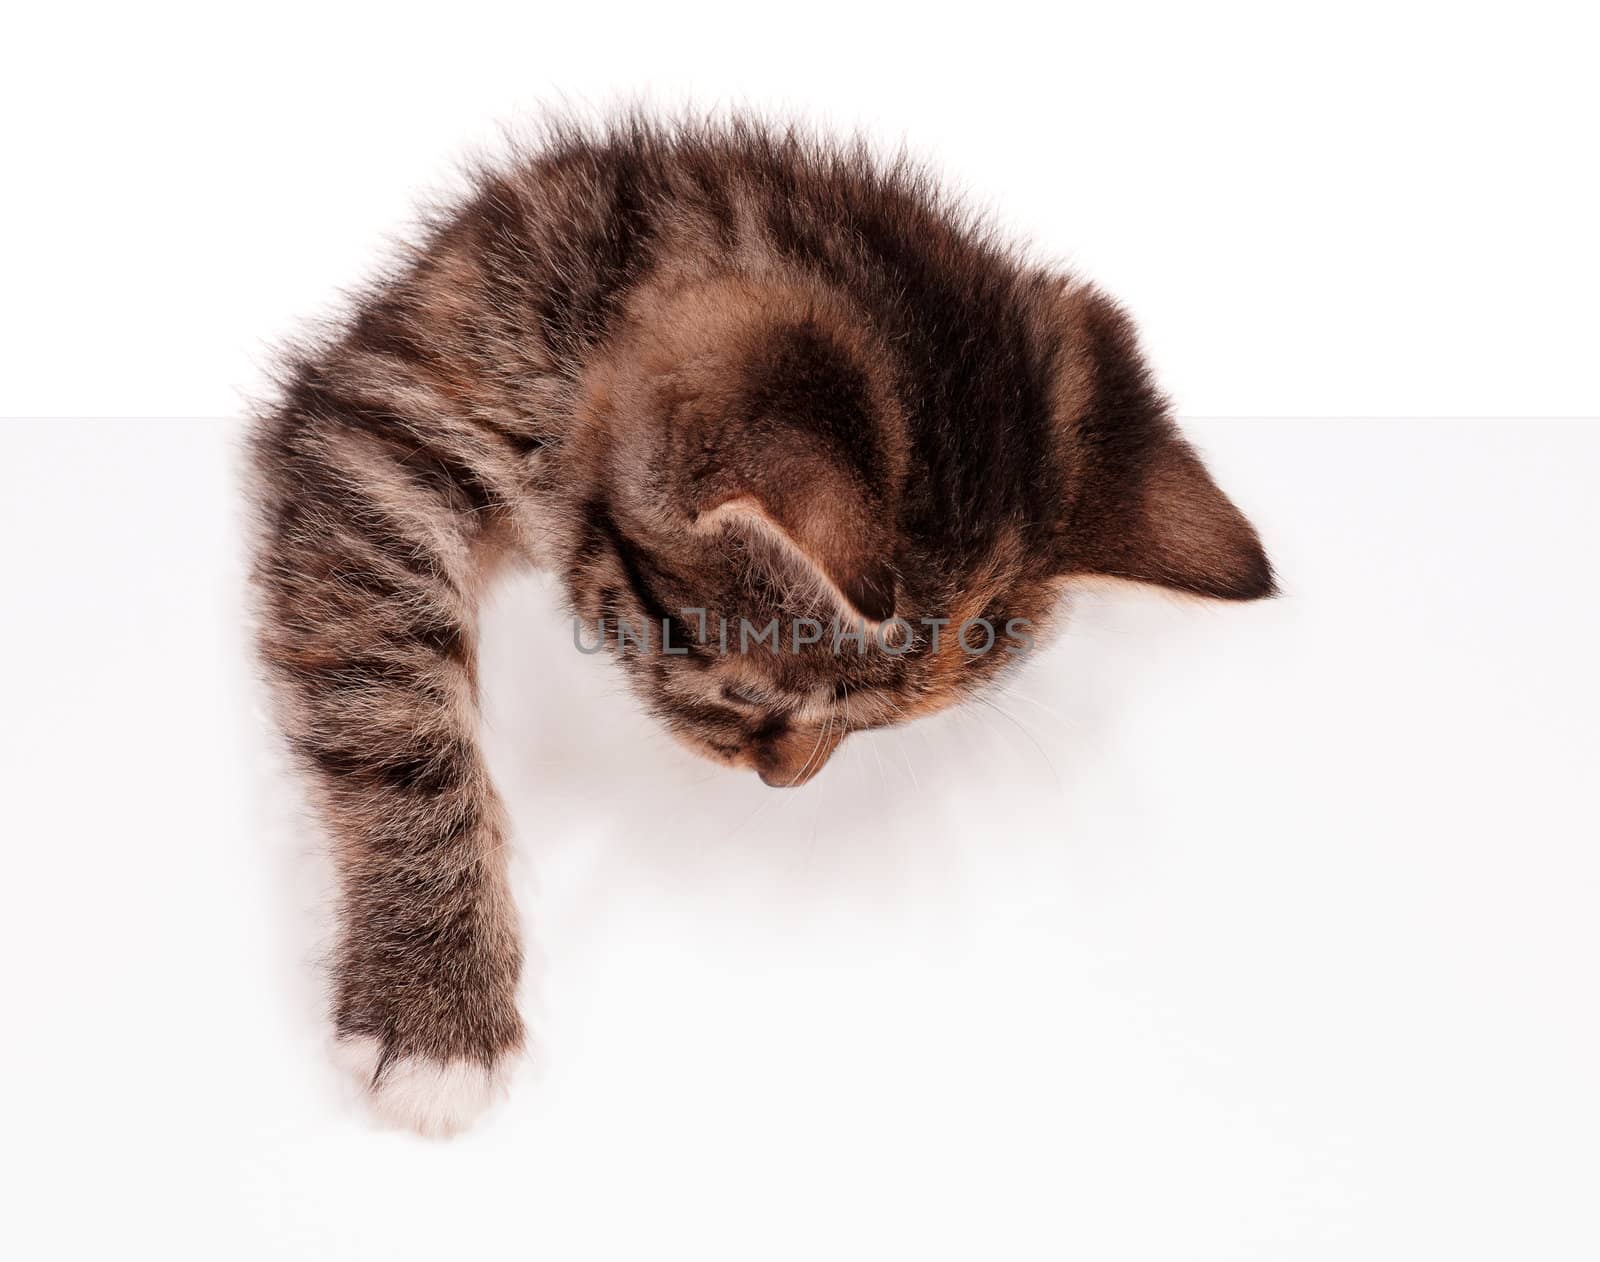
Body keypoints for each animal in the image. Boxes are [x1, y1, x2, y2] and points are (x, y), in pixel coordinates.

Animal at [246, 118, 1273, 1138]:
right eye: (752, 694)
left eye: (876, 726)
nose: (782, 780)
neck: (598, 302)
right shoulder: (387, 426)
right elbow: (395, 718)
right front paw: (435, 1010)